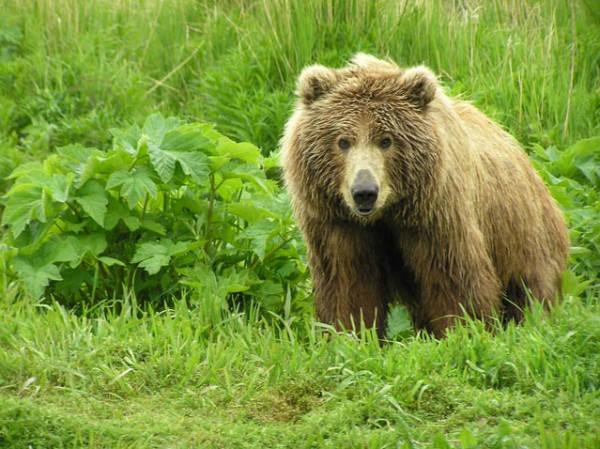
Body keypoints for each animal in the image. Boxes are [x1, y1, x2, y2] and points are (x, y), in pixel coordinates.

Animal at [278, 53, 568, 336]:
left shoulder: (437, 216)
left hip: (523, 234)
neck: (388, 212)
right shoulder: (339, 223)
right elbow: (348, 282)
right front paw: (349, 332)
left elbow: (453, 278)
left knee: (530, 290)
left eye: (386, 140)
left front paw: (462, 329)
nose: (365, 192)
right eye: (343, 141)